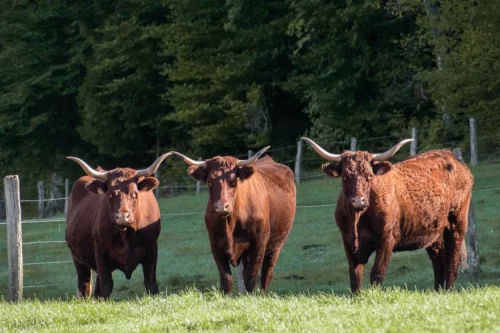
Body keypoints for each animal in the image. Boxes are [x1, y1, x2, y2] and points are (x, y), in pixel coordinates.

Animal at [65, 153, 171, 298]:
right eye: (110, 194)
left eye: (135, 193)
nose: (122, 217)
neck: (126, 234)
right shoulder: (100, 252)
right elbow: (106, 285)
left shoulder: (152, 248)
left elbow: (151, 283)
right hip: (77, 258)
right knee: (84, 285)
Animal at [170, 147, 294, 292]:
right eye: (210, 182)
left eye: (234, 182)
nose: (221, 206)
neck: (230, 225)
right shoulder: (215, 244)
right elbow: (227, 279)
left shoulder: (259, 243)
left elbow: (251, 278)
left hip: (276, 245)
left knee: (266, 274)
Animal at [300, 136, 472, 292]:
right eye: (345, 176)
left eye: (369, 176)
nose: (358, 201)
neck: (357, 220)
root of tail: (450, 156)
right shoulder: (348, 240)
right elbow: (355, 276)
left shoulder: (386, 238)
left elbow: (377, 273)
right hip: (434, 231)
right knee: (438, 262)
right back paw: (438, 291)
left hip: (457, 223)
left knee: (452, 261)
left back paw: (448, 290)